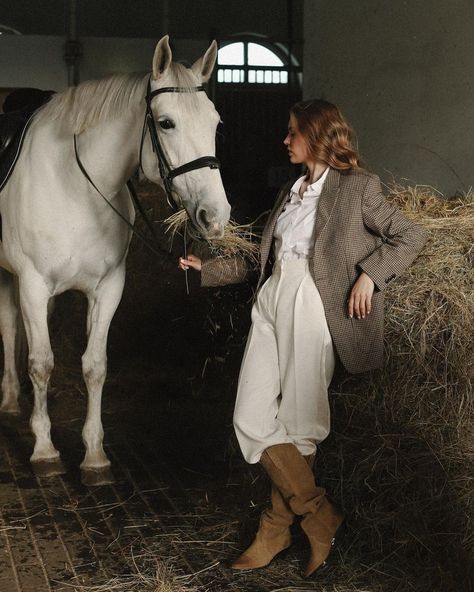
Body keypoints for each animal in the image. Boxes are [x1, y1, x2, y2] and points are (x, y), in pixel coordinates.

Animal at [0, 34, 231, 484]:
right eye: (166, 123)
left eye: (215, 123)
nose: (215, 216)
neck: (73, 186)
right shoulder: (32, 283)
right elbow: (42, 362)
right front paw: (45, 452)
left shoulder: (107, 287)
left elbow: (95, 365)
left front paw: (94, 456)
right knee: (10, 329)